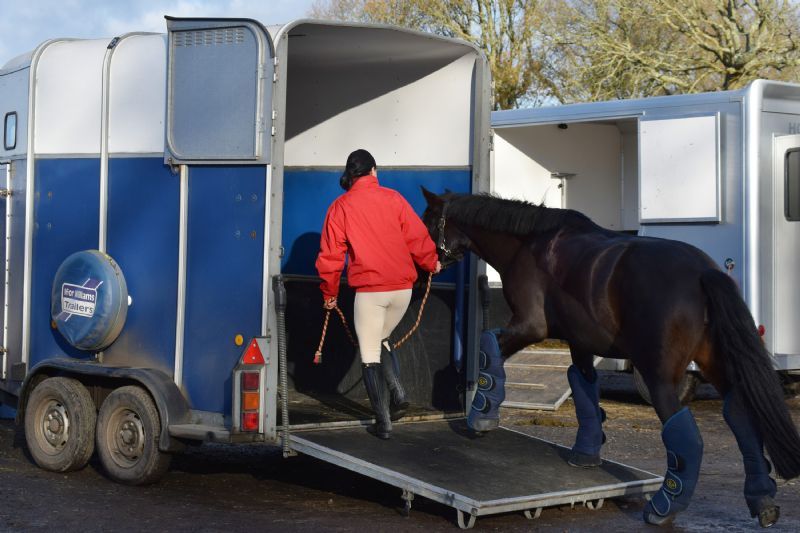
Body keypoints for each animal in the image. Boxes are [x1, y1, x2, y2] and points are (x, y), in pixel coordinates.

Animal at [422, 186, 800, 524]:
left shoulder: (531, 326)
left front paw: (481, 415)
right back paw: (762, 499)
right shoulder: (580, 342)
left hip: (659, 375)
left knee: (685, 436)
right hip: (716, 363)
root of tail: (703, 273)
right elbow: (583, 387)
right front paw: (586, 452)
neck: (528, 245)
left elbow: (489, 344)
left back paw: (663, 507)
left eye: (426, 220)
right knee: (741, 413)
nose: (421, 265)